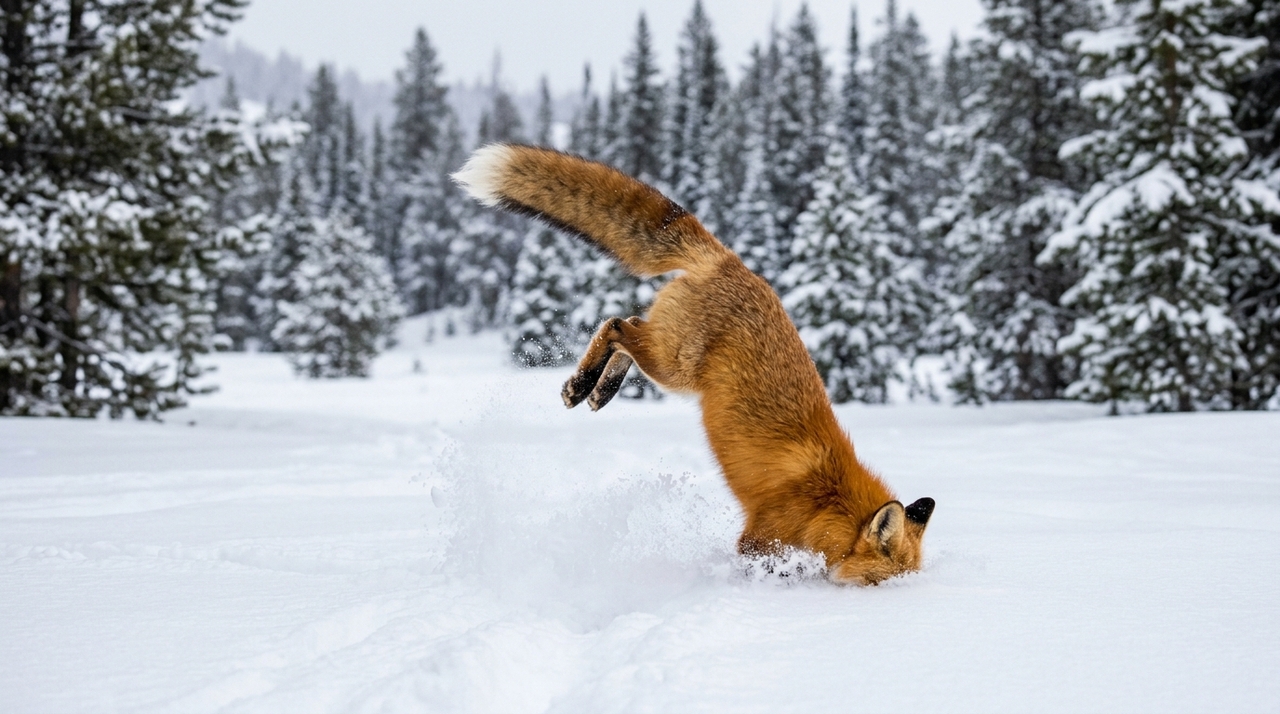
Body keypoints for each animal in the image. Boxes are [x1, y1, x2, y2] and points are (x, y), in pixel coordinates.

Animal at [453, 144, 935, 586]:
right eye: (880, 582)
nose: (897, 600)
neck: (827, 498)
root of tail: (732, 262)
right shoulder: (759, 535)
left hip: (667, 358)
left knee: (627, 324)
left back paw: (599, 391)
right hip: (673, 365)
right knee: (615, 325)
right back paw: (583, 384)